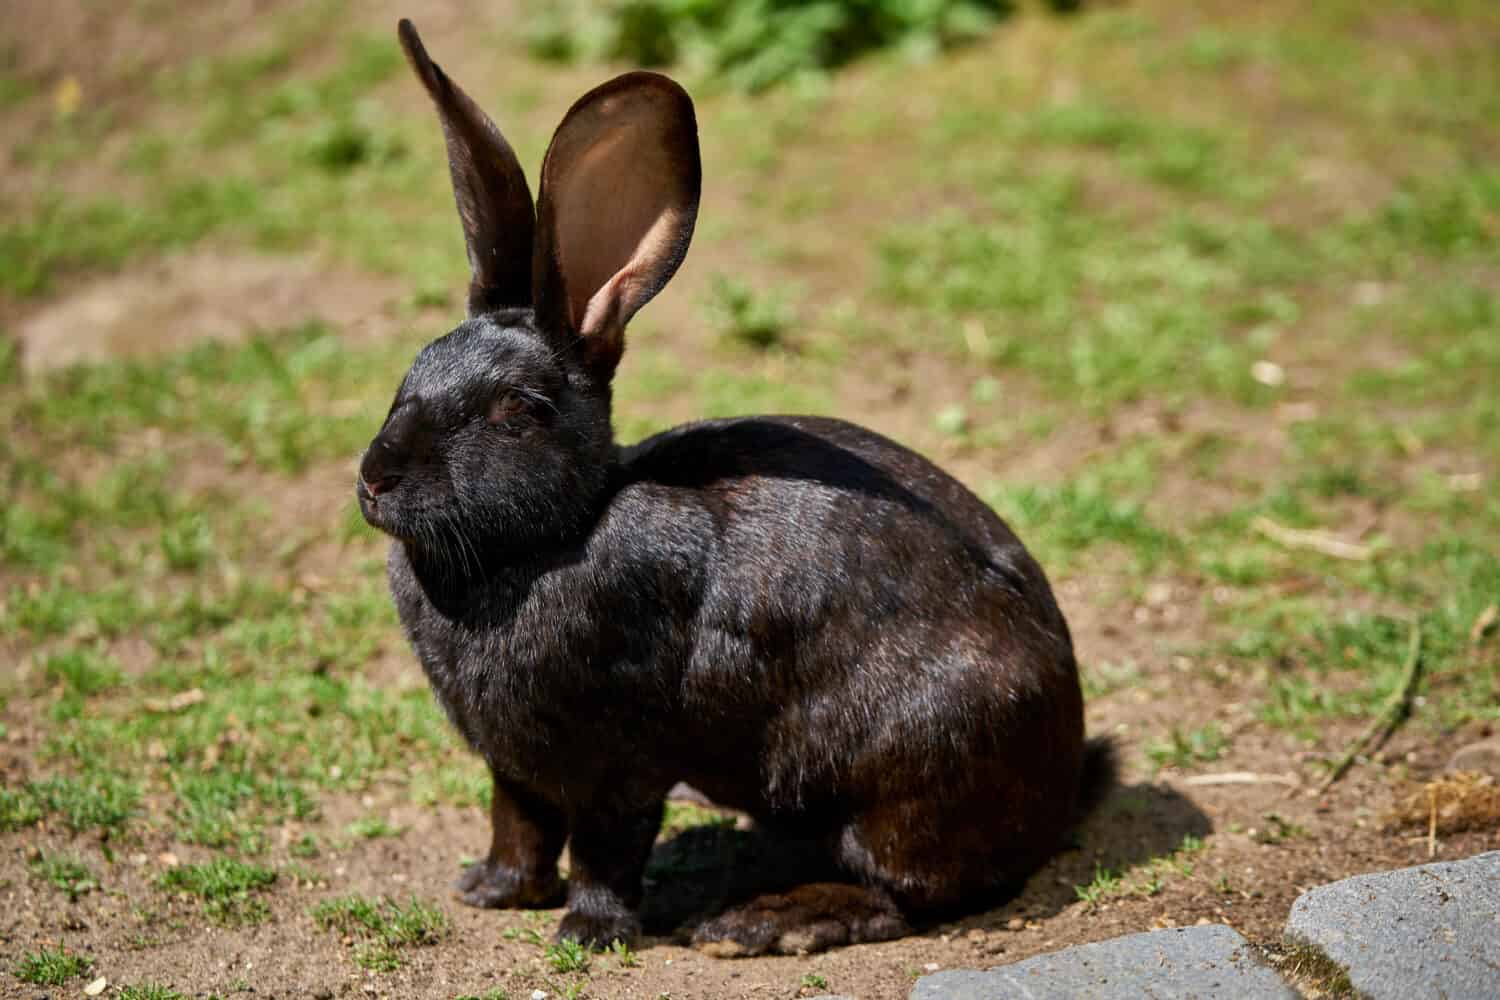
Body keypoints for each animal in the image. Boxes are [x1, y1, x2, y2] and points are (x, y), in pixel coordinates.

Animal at [356, 18, 1114, 957]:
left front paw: (587, 933)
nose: (374, 479)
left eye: (517, 412)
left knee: (907, 893)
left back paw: (760, 921)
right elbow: (519, 823)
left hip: (912, 776)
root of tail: (1062, 777)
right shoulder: (514, 762)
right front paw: (490, 893)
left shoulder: (621, 758)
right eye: (412, 372)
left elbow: (605, 845)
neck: (555, 534)